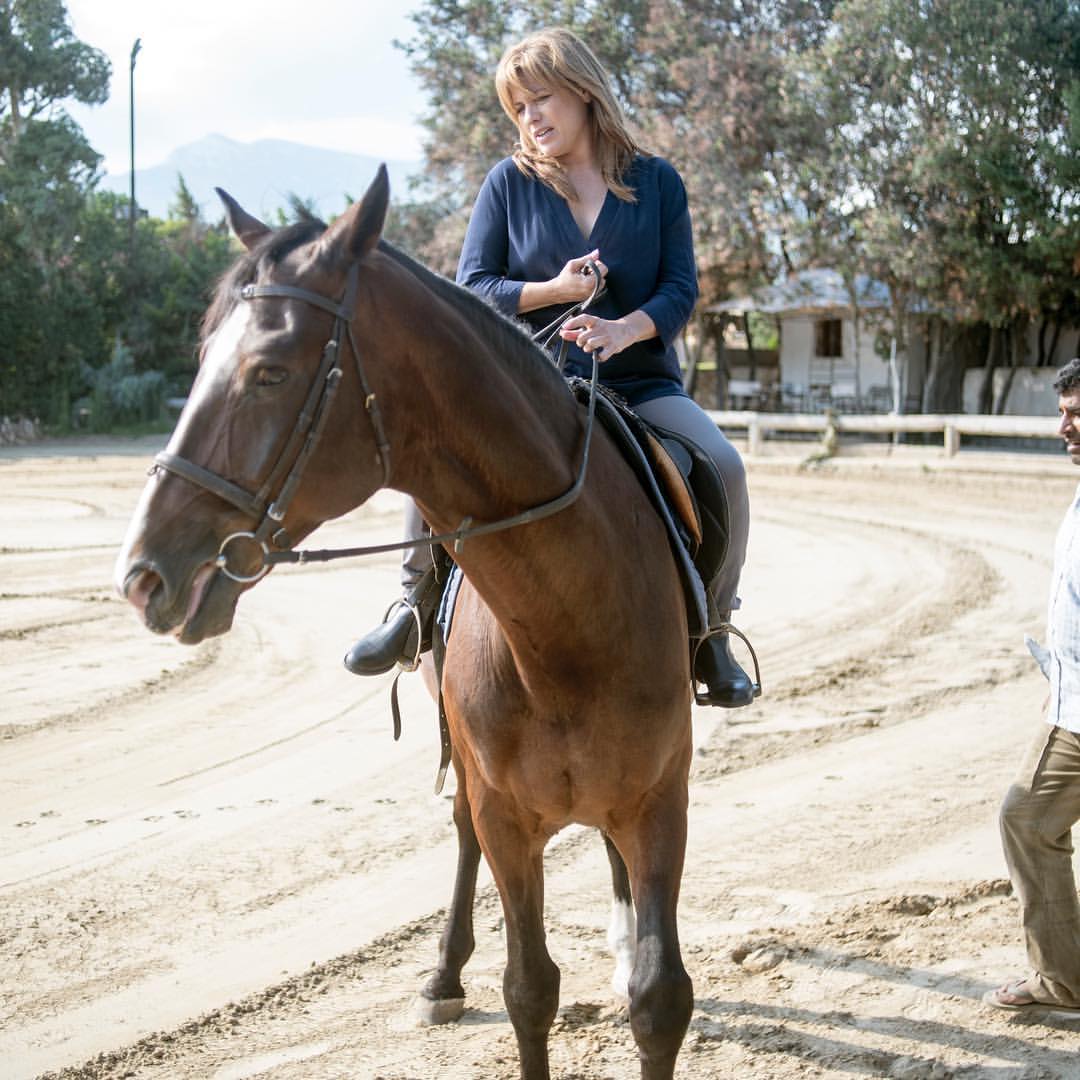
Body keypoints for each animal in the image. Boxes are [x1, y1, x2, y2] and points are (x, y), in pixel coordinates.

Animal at [116, 166, 691, 1080]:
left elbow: (659, 998)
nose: (142, 574)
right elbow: (529, 987)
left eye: (270, 371)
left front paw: (635, 948)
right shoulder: (504, 810)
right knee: (460, 834)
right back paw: (443, 977)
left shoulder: (661, 794)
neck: (563, 628)